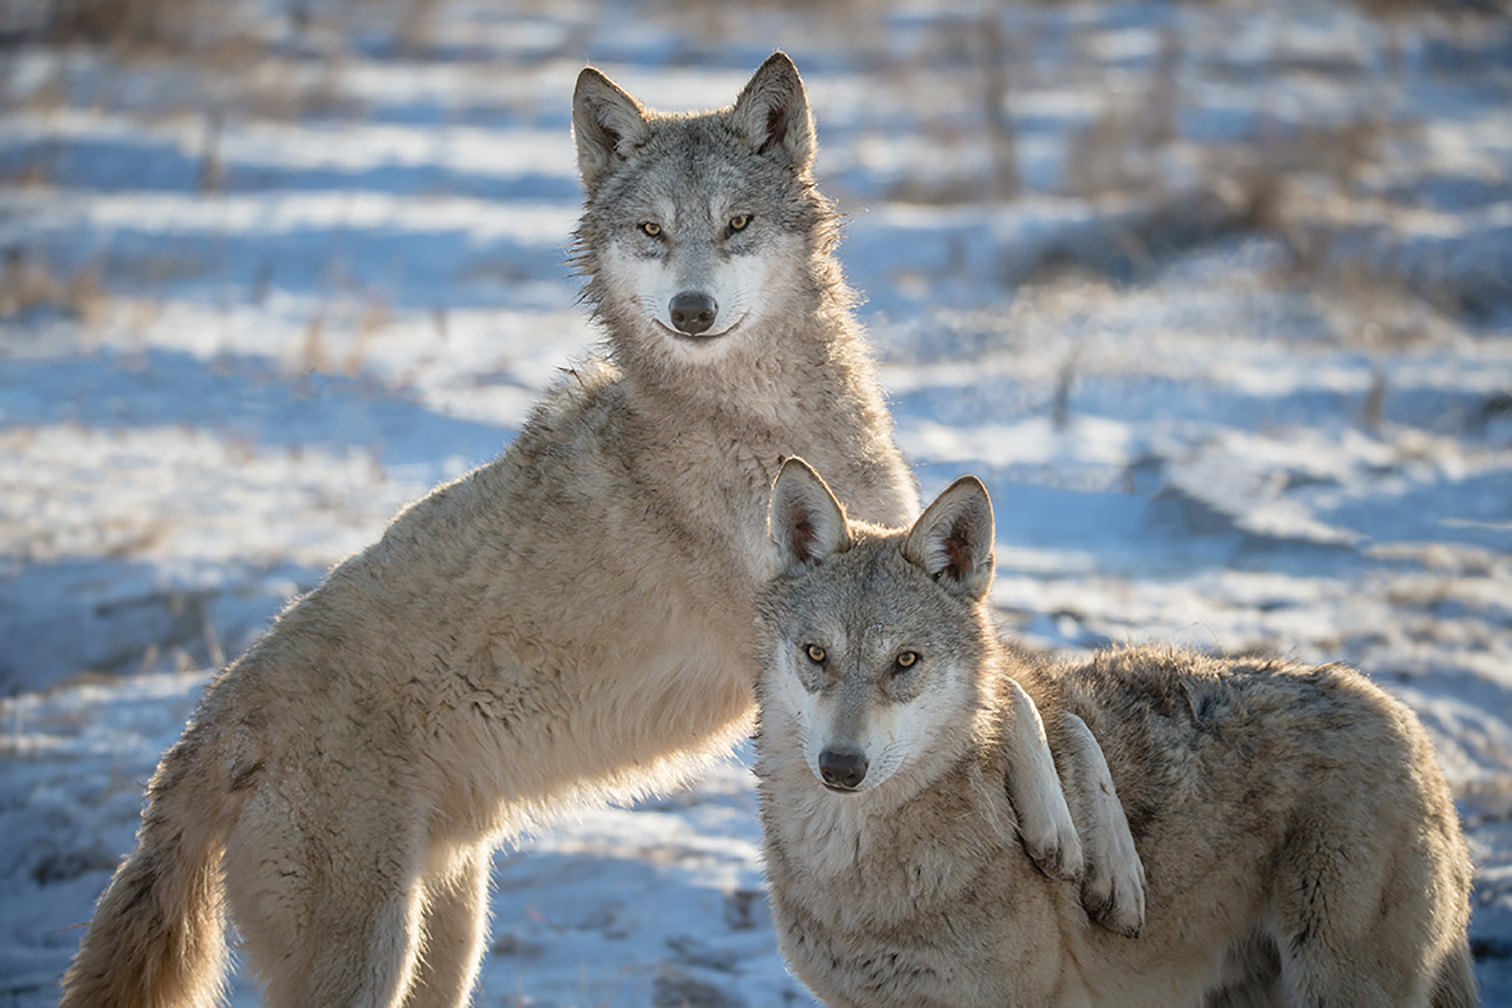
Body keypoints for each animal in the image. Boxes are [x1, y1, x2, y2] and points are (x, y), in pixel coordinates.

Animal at [55, 53, 1137, 1008]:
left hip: (447, 942)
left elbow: (1041, 699)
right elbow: (1016, 696)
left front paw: (1103, 857)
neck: (762, 424)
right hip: (369, 956)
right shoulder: (781, 640)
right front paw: (1068, 838)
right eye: (653, 231)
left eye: (737, 224)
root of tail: (207, 721)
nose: (692, 310)